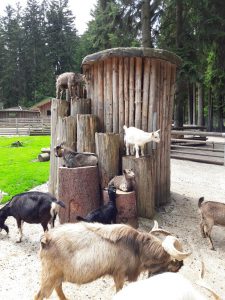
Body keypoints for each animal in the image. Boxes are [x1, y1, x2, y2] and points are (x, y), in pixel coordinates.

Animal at [34, 221, 191, 298]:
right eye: (172, 264)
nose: (181, 265)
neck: (137, 246)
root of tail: (46, 239)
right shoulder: (119, 274)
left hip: (57, 277)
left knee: (58, 290)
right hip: (49, 276)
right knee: (40, 295)